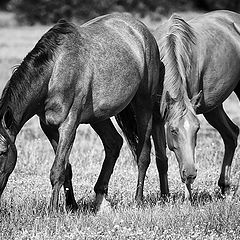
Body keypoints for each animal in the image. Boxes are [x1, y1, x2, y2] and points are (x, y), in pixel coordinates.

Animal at [0, 13, 161, 212]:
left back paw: (138, 200)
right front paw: (71, 205)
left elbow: (57, 169)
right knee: (114, 143)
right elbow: (66, 167)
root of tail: (141, 29)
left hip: (143, 104)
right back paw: (100, 199)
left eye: (2, 152)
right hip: (99, 116)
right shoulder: (48, 127)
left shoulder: (69, 125)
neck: (54, 71)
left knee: (143, 153)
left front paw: (53, 210)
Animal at [149, 10, 240, 199]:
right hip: (214, 108)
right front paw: (165, 196)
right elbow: (161, 159)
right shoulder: (156, 118)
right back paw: (225, 185)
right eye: (173, 130)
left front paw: (187, 197)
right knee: (231, 135)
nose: (190, 173)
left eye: (197, 129)